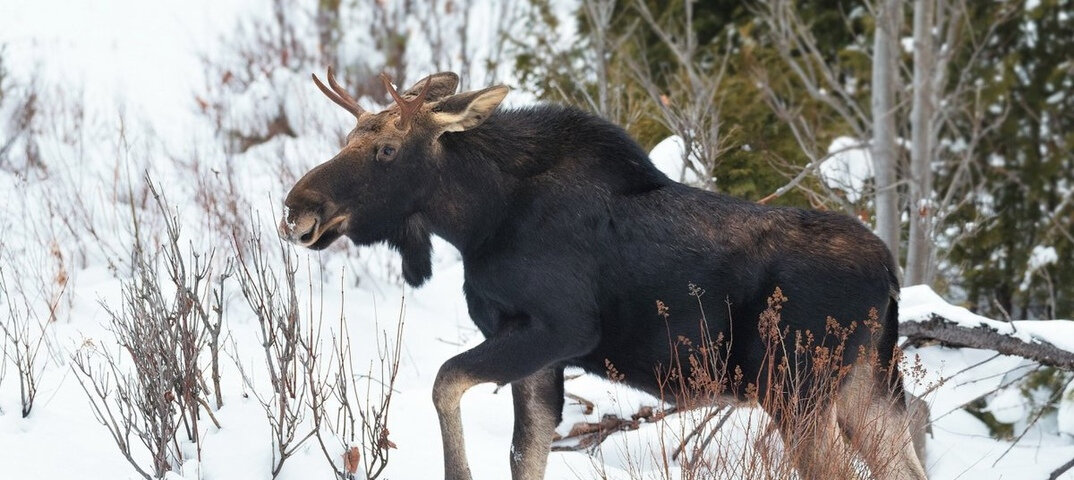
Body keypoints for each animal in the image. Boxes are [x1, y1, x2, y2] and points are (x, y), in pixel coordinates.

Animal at [281, 68, 927, 480]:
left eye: (387, 150)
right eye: (349, 137)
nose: (297, 207)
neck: (478, 219)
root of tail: (890, 277)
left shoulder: (558, 329)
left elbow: (445, 383)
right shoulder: (541, 356)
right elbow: (525, 456)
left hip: (797, 388)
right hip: (869, 385)